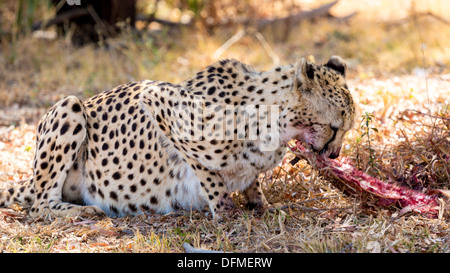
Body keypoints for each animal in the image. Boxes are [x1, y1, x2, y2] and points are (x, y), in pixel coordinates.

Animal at [0, 55, 356, 219]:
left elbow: (251, 181)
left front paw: (261, 203)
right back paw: (82, 211)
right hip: (70, 107)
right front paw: (226, 211)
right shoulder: (157, 97)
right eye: (334, 127)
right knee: (39, 205)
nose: (335, 155)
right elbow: (207, 173)